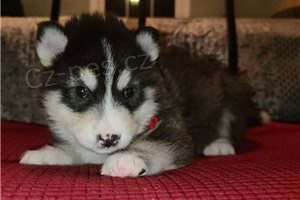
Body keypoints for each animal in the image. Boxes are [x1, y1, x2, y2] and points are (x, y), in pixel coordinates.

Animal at [20, 13, 270, 177]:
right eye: (81, 91)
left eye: (129, 92)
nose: (109, 139)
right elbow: (79, 149)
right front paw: (49, 154)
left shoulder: (174, 129)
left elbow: (158, 145)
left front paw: (128, 159)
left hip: (231, 91)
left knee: (229, 123)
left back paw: (219, 144)